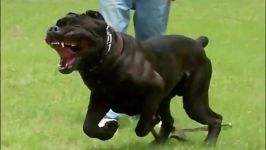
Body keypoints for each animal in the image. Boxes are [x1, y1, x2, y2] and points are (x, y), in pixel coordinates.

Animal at [45, 10, 222, 144]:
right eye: (58, 23)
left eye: (75, 25)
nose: (52, 28)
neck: (106, 59)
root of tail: (198, 43)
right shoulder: (99, 98)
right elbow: (88, 126)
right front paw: (109, 129)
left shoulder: (154, 91)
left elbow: (142, 126)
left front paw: (150, 122)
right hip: (167, 101)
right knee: (169, 122)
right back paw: (158, 143)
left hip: (193, 101)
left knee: (215, 119)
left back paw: (209, 142)